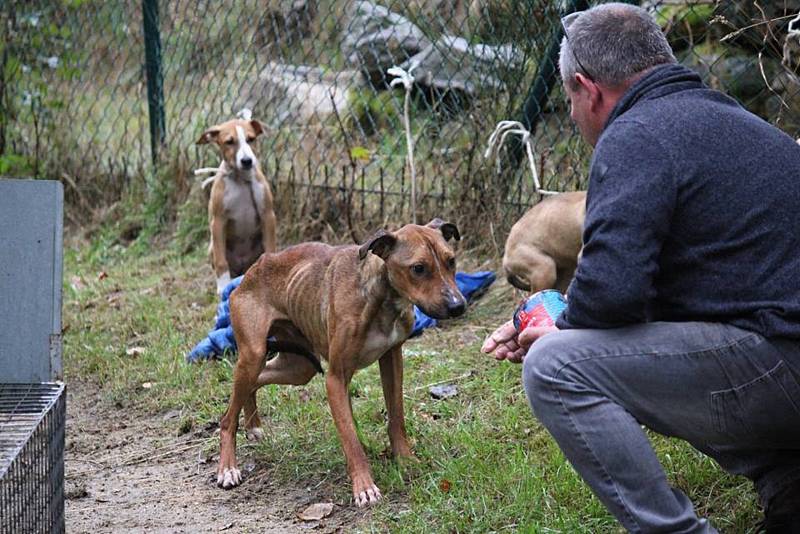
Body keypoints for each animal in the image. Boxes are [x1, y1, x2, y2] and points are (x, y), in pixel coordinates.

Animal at [197, 114, 278, 296]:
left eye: (251, 139)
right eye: (229, 142)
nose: (247, 161)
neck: (241, 180)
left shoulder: (268, 216)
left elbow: (271, 250)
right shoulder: (218, 222)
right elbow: (221, 261)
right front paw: (223, 287)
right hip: (211, 247)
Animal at [217, 220, 468, 508]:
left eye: (451, 261)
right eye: (418, 268)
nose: (458, 306)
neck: (380, 298)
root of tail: (252, 270)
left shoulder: (392, 358)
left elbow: (396, 417)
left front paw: (405, 460)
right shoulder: (336, 378)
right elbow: (350, 439)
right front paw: (364, 487)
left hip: (298, 367)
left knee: (255, 382)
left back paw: (253, 426)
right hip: (253, 355)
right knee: (227, 418)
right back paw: (227, 468)